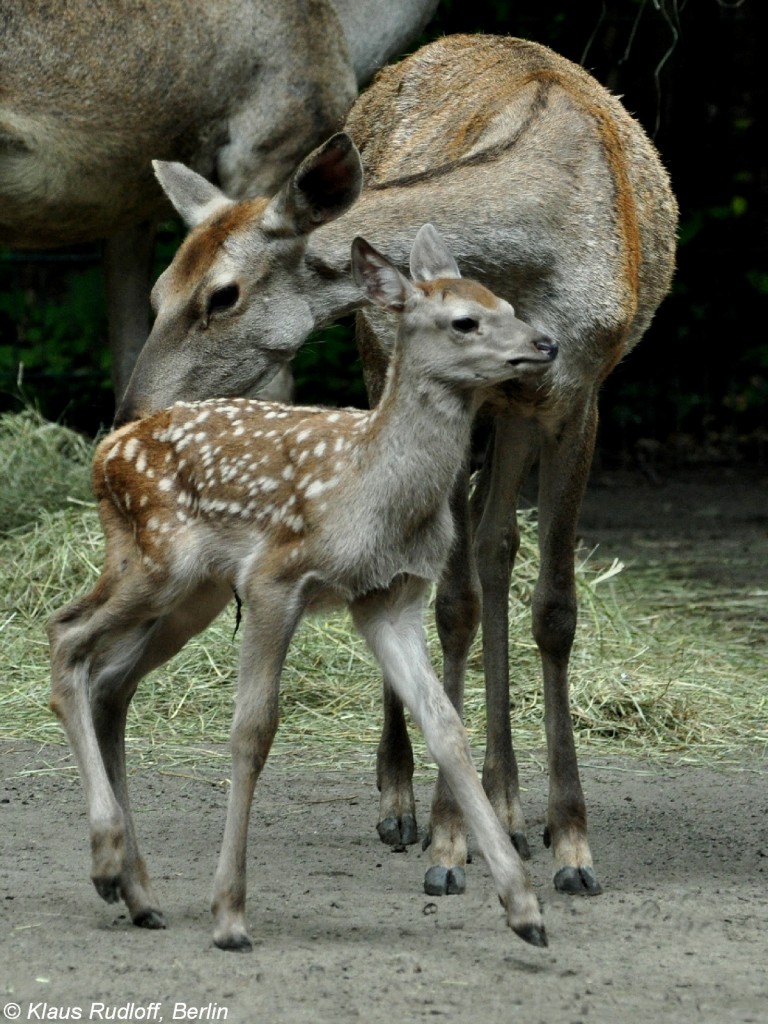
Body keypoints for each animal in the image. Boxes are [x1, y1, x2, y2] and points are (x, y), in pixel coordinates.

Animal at [49, 224, 561, 950]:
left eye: (508, 304)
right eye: (465, 320)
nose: (545, 344)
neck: (371, 491)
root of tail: (104, 452)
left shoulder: (389, 599)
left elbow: (446, 727)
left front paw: (523, 908)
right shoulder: (275, 578)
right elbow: (252, 732)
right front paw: (230, 915)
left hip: (195, 595)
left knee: (111, 686)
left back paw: (140, 892)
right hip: (154, 561)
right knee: (65, 636)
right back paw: (106, 861)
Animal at [114, 36, 679, 905]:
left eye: (222, 295)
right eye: (157, 289)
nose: (131, 413)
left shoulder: (579, 394)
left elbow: (554, 609)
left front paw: (573, 842)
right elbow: (451, 604)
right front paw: (448, 838)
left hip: (513, 411)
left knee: (497, 546)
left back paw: (508, 805)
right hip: (389, 367)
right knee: (433, 562)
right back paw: (406, 803)